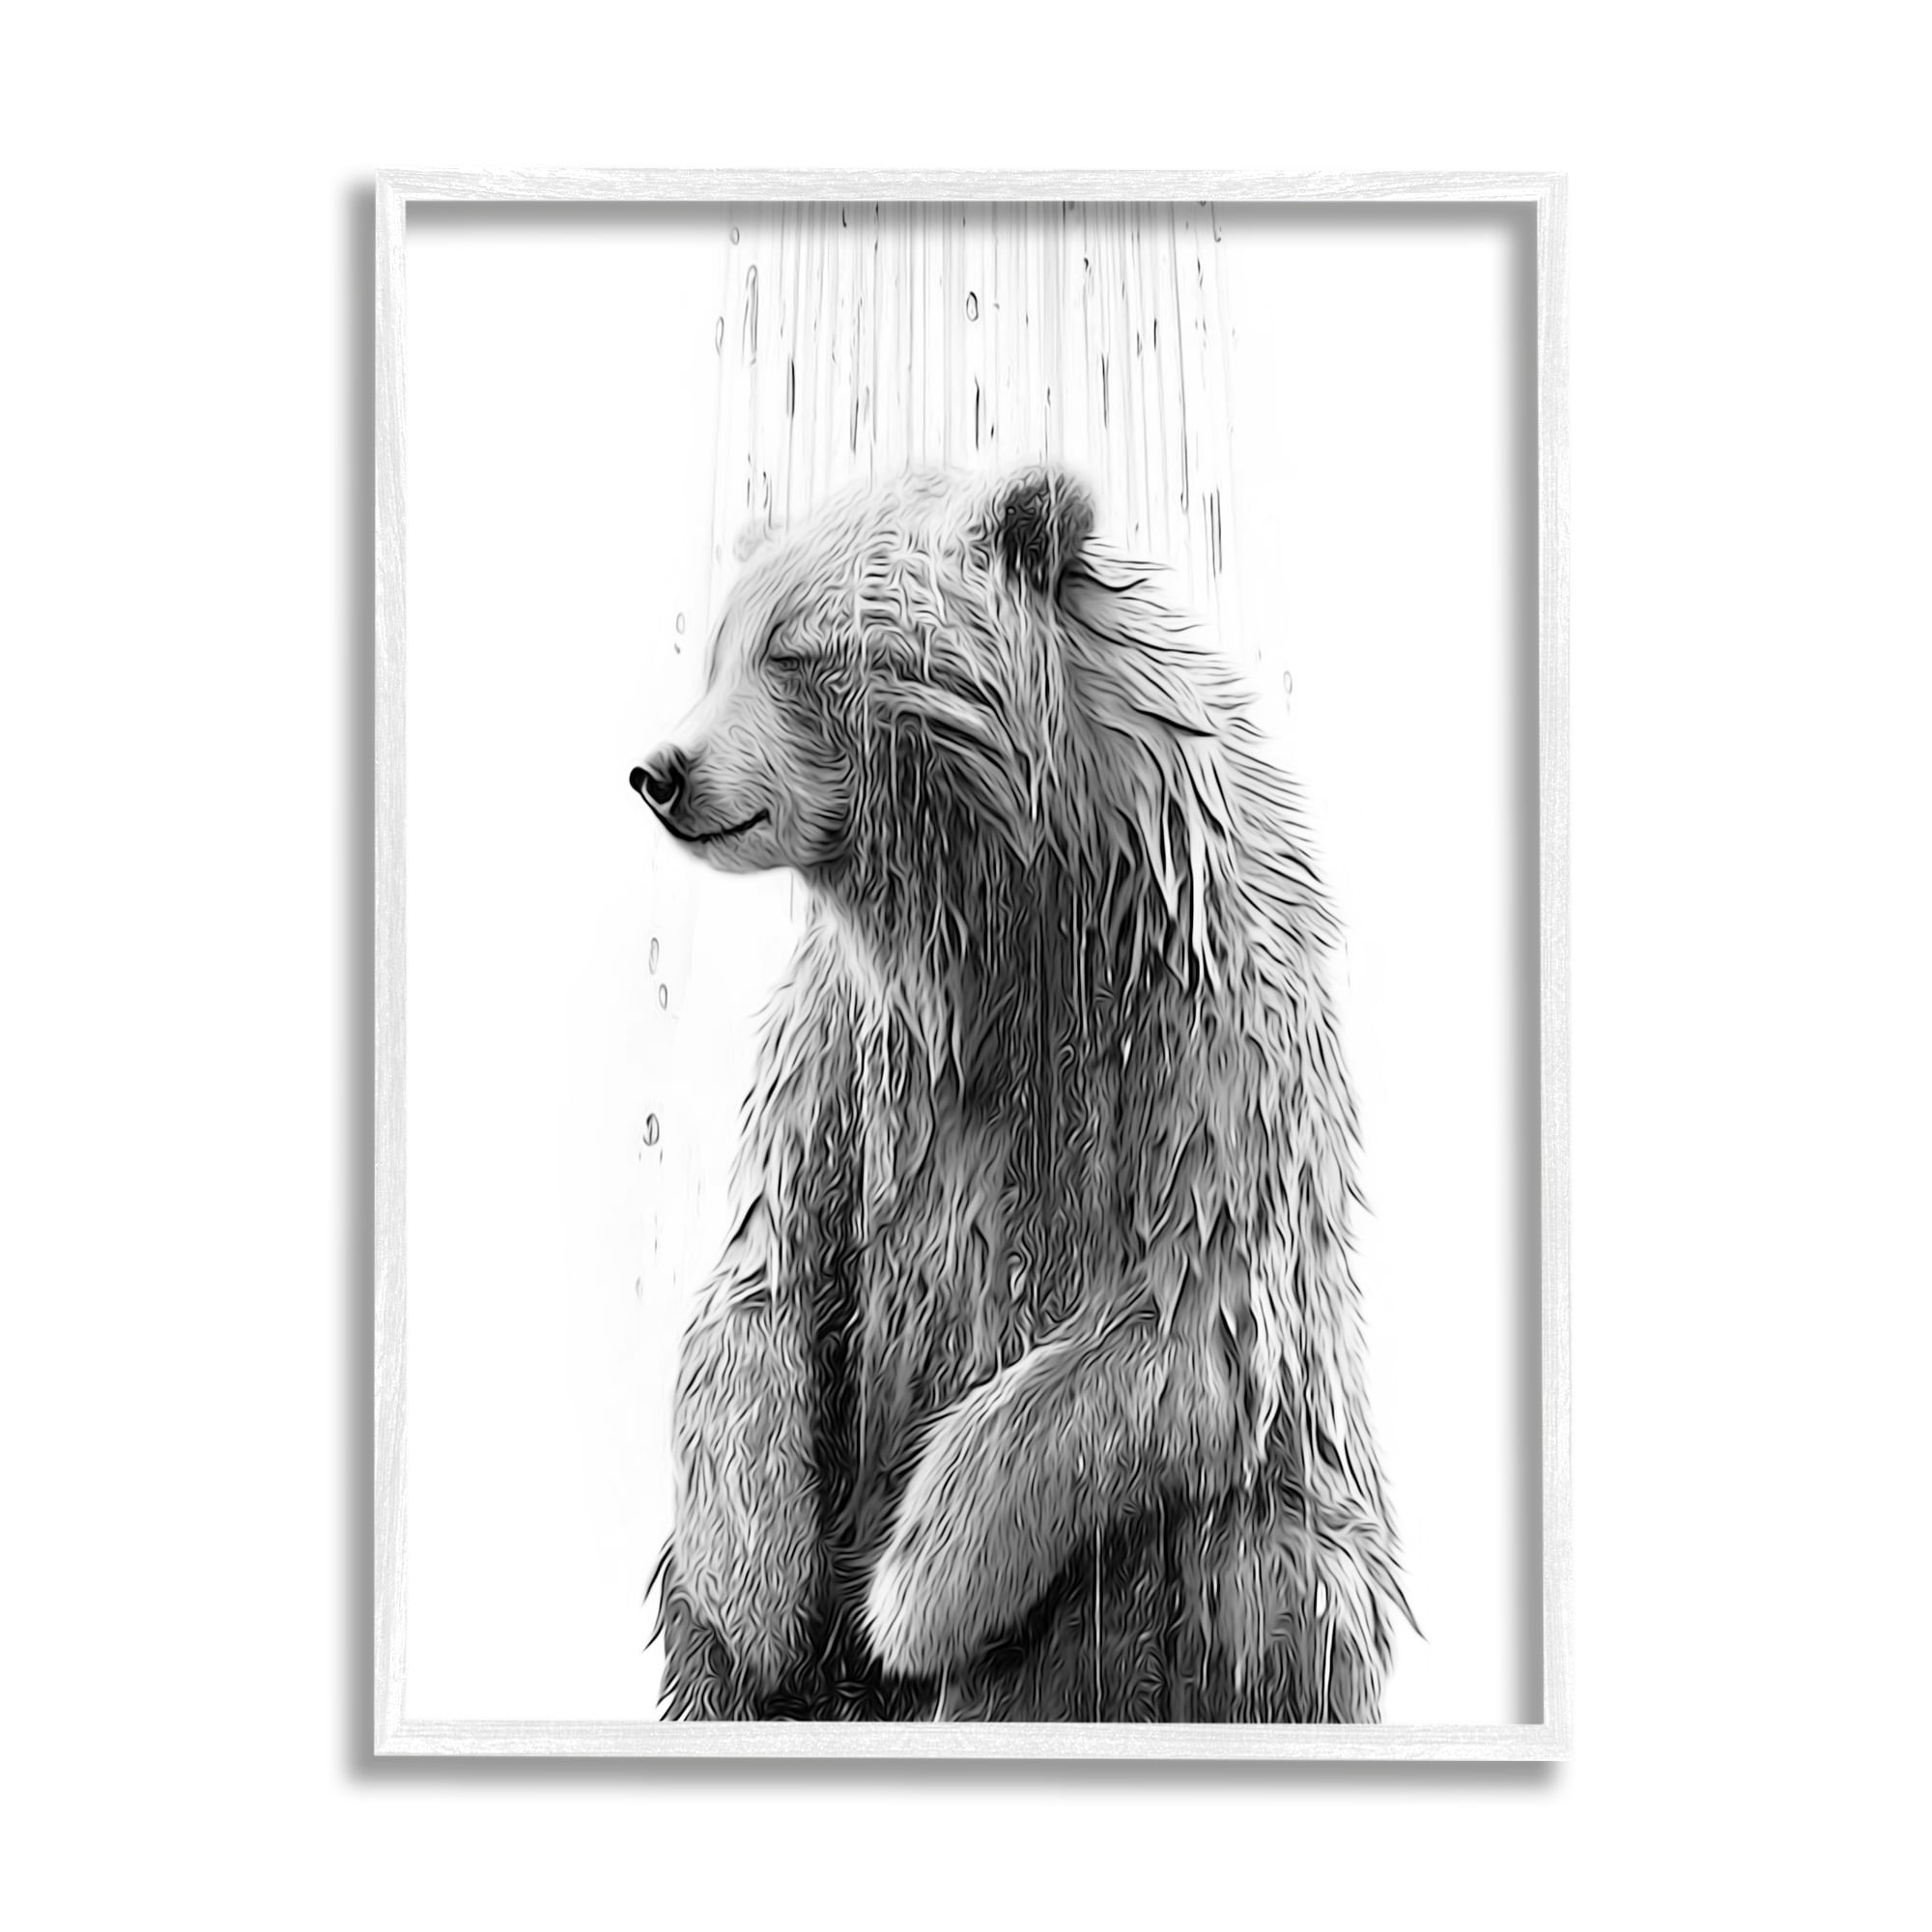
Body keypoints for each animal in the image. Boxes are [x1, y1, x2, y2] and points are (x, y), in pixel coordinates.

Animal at [631, 465, 1406, 1722]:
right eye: (717, 648)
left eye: (795, 651)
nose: (661, 769)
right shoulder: (848, 1046)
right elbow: (762, 1277)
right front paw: (760, 1598)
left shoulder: (1192, 1023)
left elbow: (1173, 1325)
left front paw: (908, 1593)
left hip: (1274, 1534)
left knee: (1261, 1580)